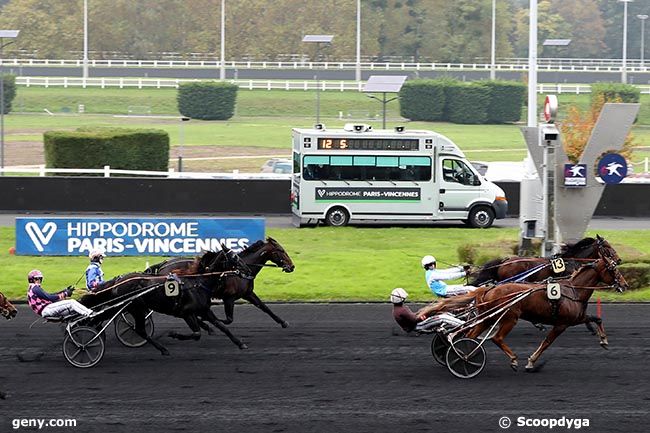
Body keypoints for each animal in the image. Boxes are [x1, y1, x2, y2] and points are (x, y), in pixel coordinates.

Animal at [82, 246, 249, 354]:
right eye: (234, 257)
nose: (247, 270)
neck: (198, 282)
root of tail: (119, 280)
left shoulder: (204, 310)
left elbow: (222, 326)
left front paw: (241, 344)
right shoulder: (187, 313)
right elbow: (196, 334)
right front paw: (173, 334)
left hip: (132, 308)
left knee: (137, 328)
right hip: (134, 307)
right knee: (136, 328)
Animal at [149, 236, 294, 328]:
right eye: (281, 251)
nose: (292, 267)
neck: (240, 271)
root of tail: (162, 265)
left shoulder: (248, 293)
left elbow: (264, 307)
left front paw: (283, 322)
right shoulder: (229, 298)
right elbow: (228, 320)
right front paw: (204, 319)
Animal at [420, 256, 628, 372]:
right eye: (612, 268)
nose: (625, 284)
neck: (573, 290)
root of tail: (487, 289)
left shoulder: (575, 318)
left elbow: (597, 318)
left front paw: (603, 340)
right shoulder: (561, 324)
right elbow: (546, 343)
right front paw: (531, 362)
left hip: (489, 318)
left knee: (469, 335)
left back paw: (463, 354)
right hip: (509, 317)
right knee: (496, 338)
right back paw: (506, 360)